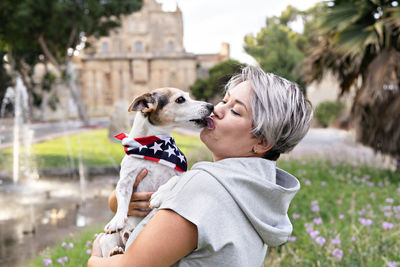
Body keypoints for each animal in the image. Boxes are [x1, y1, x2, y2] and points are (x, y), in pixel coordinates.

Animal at [99, 87, 212, 258]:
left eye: (188, 96)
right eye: (180, 99)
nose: (211, 106)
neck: (152, 146)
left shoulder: (180, 174)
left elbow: (174, 180)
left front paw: (159, 195)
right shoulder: (126, 180)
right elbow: (122, 199)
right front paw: (117, 220)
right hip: (106, 240)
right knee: (108, 251)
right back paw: (115, 251)